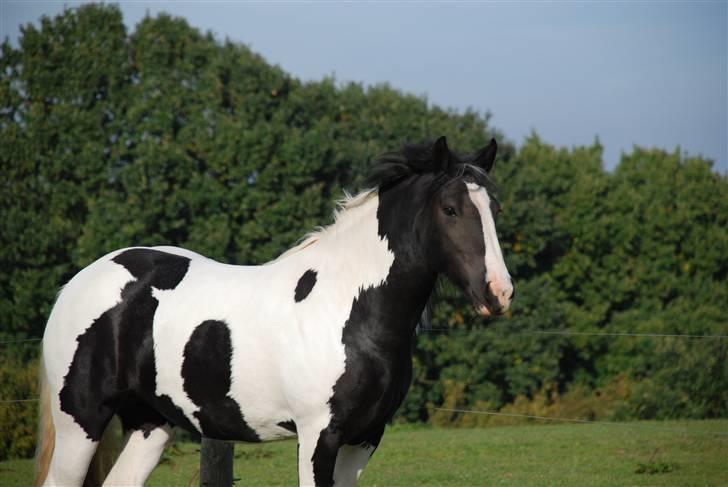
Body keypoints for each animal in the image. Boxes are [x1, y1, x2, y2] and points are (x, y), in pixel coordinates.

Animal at [34, 136, 512, 487]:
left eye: (494, 209)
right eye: (449, 210)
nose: (499, 292)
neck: (351, 313)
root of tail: (76, 284)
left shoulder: (363, 439)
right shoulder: (318, 435)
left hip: (150, 423)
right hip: (81, 420)